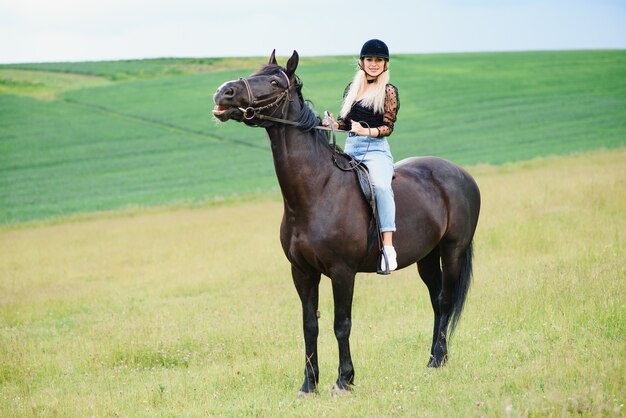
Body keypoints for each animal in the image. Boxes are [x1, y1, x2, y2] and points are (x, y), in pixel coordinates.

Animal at [212, 50, 480, 394]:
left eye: (273, 82)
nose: (224, 92)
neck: (318, 189)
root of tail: (461, 173)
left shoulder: (342, 272)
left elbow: (342, 324)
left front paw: (344, 380)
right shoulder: (302, 272)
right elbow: (309, 325)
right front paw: (308, 384)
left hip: (453, 250)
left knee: (446, 300)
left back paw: (437, 359)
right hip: (427, 258)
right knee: (436, 301)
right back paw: (436, 358)